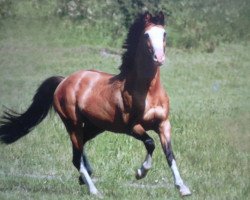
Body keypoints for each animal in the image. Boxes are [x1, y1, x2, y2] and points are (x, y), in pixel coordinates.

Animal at [0, 11, 191, 198]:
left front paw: (183, 188)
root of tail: (64, 81)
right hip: (73, 124)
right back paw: (94, 190)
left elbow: (169, 154)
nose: (159, 58)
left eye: (164, 34)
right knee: (76, 156)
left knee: (79, 150)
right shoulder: (131, 127)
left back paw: (85, 177)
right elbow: (150, 143)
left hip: (95, 126)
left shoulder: (163, 124)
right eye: (146, 35)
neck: (148, 92)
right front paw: (140, 173)